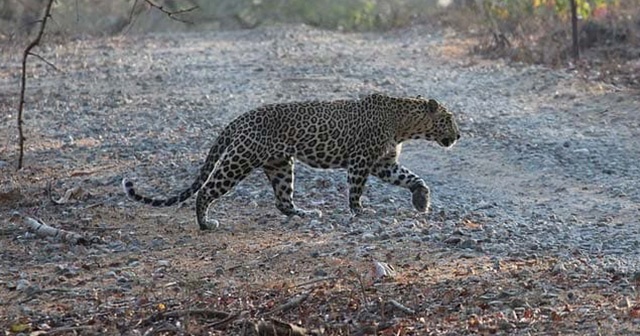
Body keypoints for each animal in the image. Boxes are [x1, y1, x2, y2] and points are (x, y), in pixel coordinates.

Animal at [121, 93, 460, 230]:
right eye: (448, 119)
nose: (458, 135)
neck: (404, 124)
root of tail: (240, 119)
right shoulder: (362, 161)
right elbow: (355, 190)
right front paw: (360, 212)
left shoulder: (383, 163)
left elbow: (412, 177)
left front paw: (421, 200)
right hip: (239, 160)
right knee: (206, 190)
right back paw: (206, 224)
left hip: (281, 165)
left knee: (283, 201)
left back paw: (305, 213)